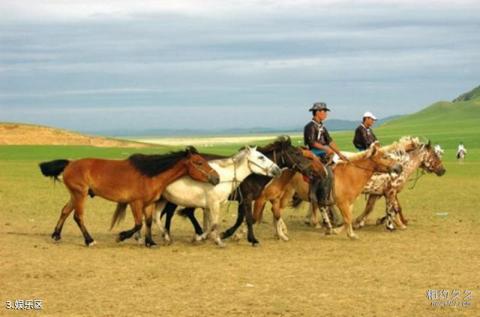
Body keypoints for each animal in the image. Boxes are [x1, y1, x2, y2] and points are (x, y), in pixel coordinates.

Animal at [39, 146, 219, 247]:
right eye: (199, 162)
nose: (216, 178)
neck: (150, 174)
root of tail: (69, 163)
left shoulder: (149, 204)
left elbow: (148, 222)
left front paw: (150, 242)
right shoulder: (135, 203)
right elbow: (138, 224)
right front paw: (121, 236)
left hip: (75, 195)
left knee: (65, 211)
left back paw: (56, 235)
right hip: (80, 194)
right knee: (78, 216)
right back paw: (89, 240)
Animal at [122, 146, 282, 247]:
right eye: (261, 157)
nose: (277, 169)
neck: (223, 177)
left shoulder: (212, 206)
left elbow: (211, 224)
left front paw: (209, 238)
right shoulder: (215, 204)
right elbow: (214, 224)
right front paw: (212, 240)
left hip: (163, 200)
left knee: (156, 216)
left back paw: (163, 237)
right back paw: (141, 238)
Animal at [253, 141, 404, 239]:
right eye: (385, 156)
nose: (399, 167)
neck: (351, 174)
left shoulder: (348, 203)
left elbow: (347, 219)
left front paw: (335, 231)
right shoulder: (342, 203)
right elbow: (347, 219)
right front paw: (350, 234)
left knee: (276, 211)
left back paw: (279, 233)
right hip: (285, 195)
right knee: (276, 211)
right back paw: (282, 231)